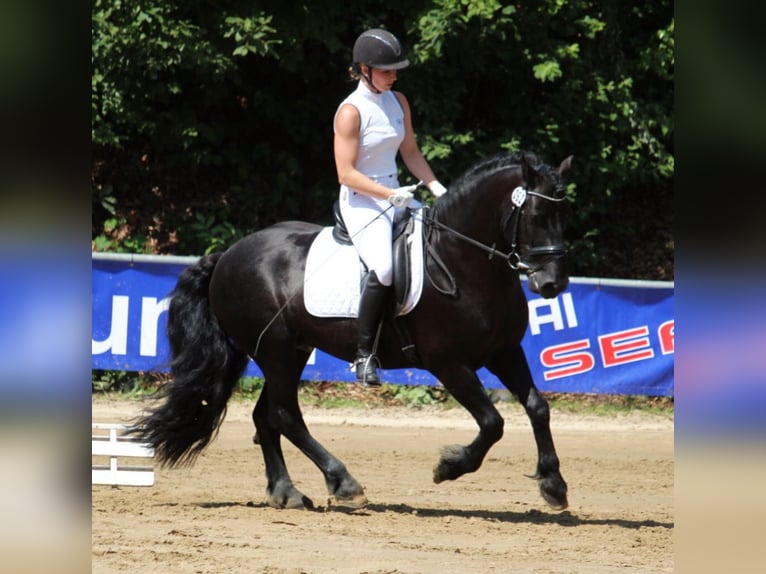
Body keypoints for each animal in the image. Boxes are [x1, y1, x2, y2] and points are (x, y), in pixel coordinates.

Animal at [134, 151, 576, 510]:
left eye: (564, 217)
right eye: (536, 217)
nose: (552, 284)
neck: (462, 261)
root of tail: (228, 253)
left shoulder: (504, 351)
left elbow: (537, 406)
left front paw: (554, 485)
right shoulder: (448, 364)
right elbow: (492, 422)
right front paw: (449, 467)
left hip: (292, 351)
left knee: (267, 417)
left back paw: (286, 492)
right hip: (275, 352)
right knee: (284, 414)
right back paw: (343, 482)